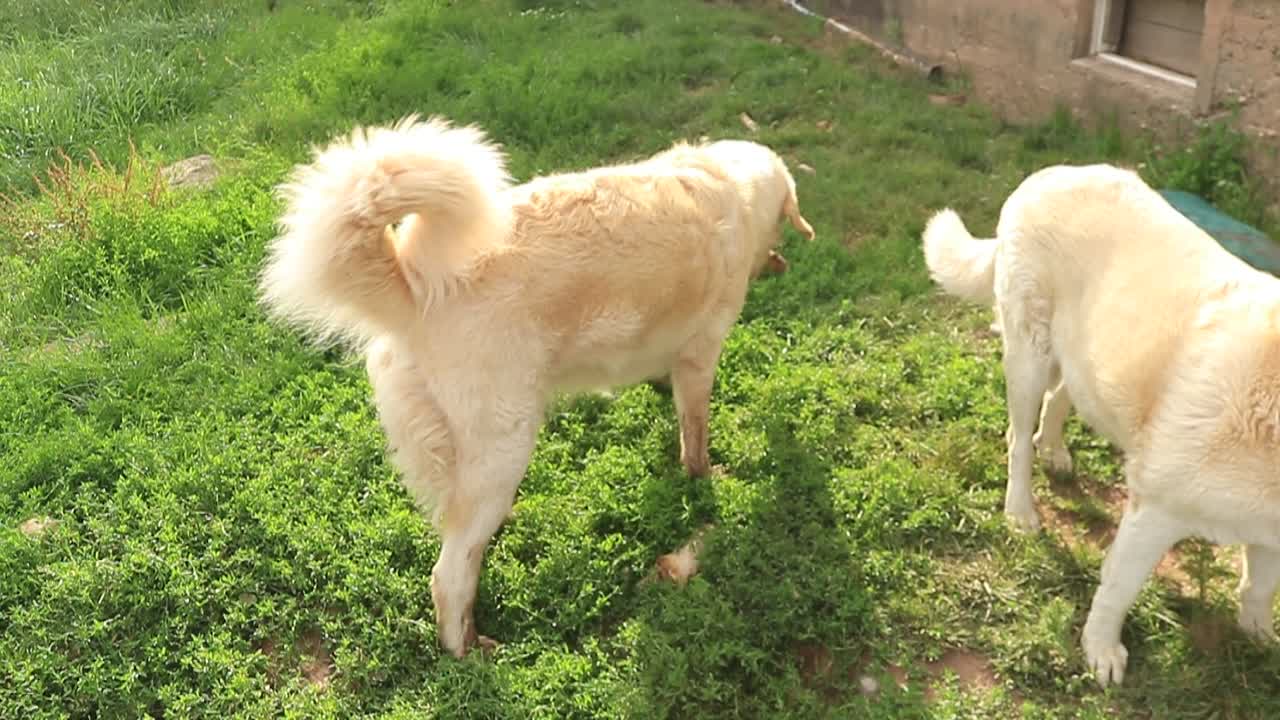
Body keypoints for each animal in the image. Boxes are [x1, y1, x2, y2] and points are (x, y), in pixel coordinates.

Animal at [258, 116, 814, 655]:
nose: (780, 262)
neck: (730, 183)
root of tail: (415, 285)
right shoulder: (702, 358)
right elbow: (694, 437)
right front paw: (704, 476)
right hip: (504, 444)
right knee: (449, 574)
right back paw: (466, 649)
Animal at [926, 162, 1280, 681]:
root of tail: (1048, 175)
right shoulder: (1154, 513)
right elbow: (1118, 588)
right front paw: (1101, 650)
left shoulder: (1270, 533)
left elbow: (1259, 589)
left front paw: (1260, 641)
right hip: (1028, 355)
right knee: (1017, 438)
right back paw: (1020, 511)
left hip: (1083, 357)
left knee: (1058, 400)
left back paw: (1054, 450)